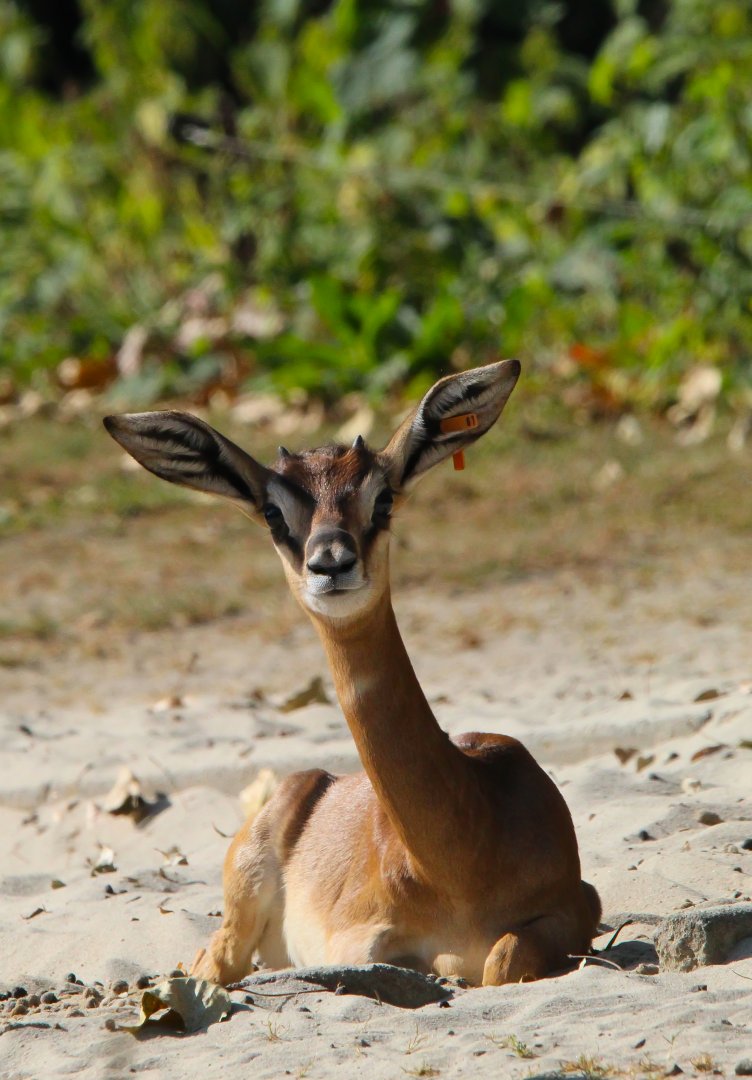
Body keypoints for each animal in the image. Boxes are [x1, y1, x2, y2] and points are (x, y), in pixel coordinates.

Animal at [104, 359, 601, 986]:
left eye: (382, 498)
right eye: (274, 514)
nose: (331, 562)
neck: (463, 855)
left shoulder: (577, 905)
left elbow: (503, 957)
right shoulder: (356, 945)